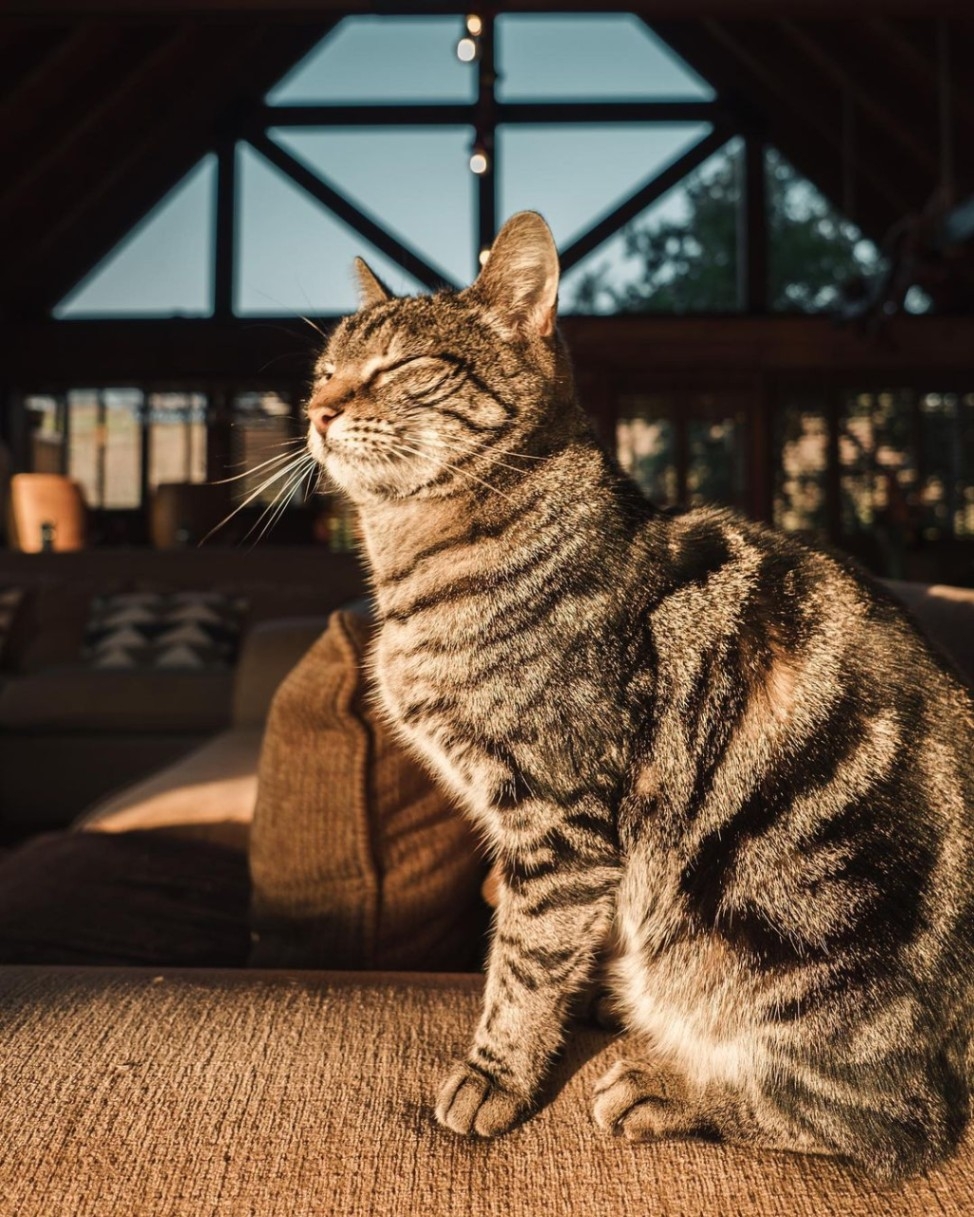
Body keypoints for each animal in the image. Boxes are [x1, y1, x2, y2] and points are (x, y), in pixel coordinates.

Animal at [308, 211, 974, 1178]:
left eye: (403, 366)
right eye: (324, 370)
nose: (317, 411)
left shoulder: (557, 814)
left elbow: (523, 961)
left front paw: (496, 1071)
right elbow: (543, 942)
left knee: (895, 1121)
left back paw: (666, 1085)